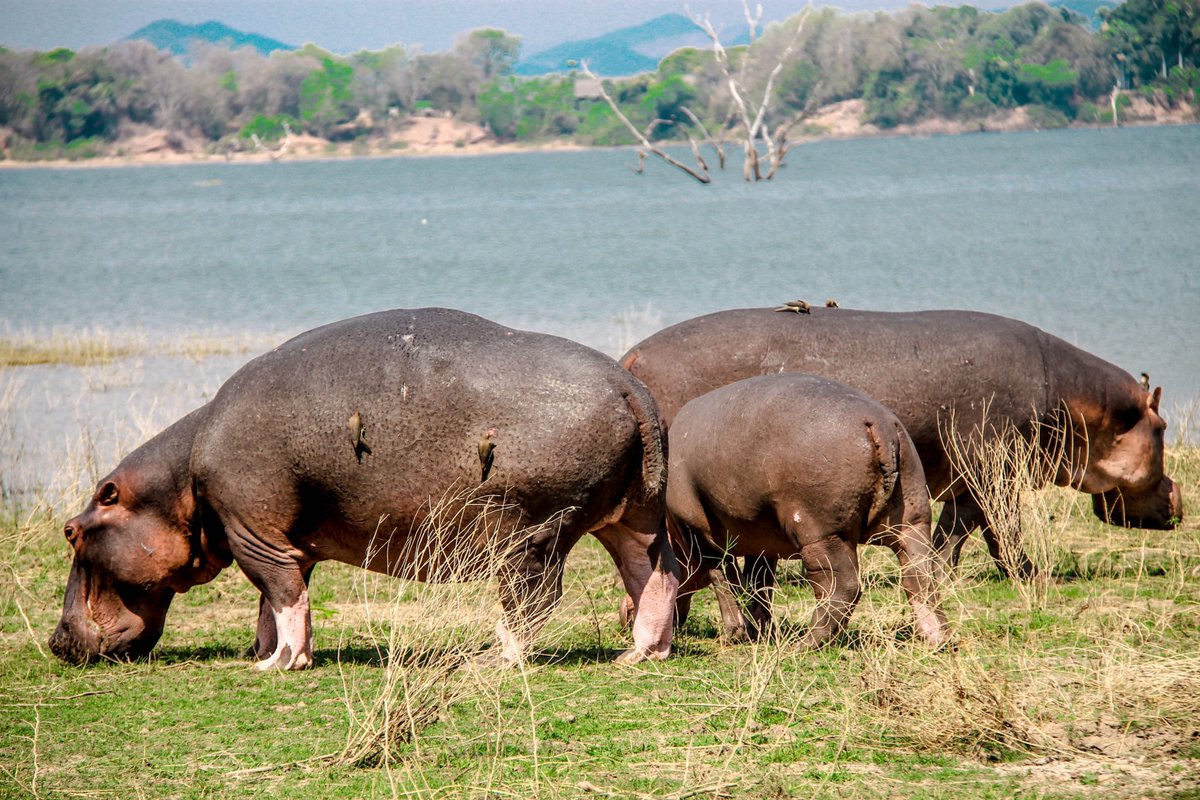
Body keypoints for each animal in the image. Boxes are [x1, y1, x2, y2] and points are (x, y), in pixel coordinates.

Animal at [50, 308, 680, 670]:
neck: (177, 480)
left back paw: (489, 660)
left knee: (534, 599)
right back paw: (638, 653)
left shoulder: (252, 532)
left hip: (529, 534)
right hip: (630, 516)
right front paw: (264, 653)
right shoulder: (279, 539)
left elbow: (280, 593)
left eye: (71, 532)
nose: (56, 642)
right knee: (653, 574)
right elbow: (275, 600)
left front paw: (277, 665)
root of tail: (630, 388)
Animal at [667, 374, 949, 647]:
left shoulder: (696, 529)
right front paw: (760, 632)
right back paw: (936, 639)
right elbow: (758, 582)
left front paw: (735, 634)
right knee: (921, 578)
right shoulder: (761, 537)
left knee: (840, 586)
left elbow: (722, 577)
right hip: (913, 520)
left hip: (819, 532)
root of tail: (878, 422)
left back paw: (805, 644)